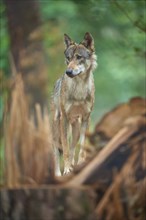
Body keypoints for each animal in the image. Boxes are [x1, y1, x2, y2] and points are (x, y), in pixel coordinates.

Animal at [51, 32, 97, 175]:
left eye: (79, 57)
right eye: (68, 58)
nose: (68, 72)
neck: (79, 90)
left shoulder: (86, 118)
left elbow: (81, 148)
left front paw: (80, 164)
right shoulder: (64, 119)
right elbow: (65, 149)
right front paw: (66, 170)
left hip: (76, 129)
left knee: (72, 148)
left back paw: (72, 165)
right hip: (57, 128)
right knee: (56, 152)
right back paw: (58, 174)